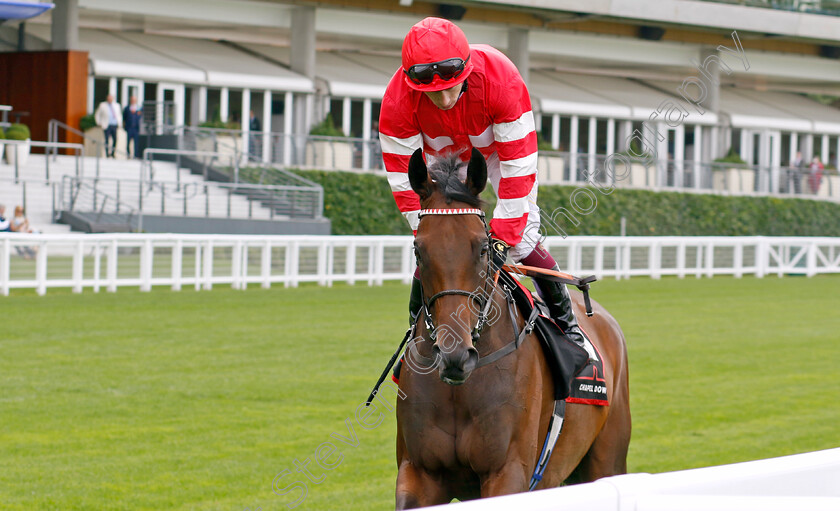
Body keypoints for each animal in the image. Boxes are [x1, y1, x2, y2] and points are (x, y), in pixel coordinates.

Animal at [394, 148, 632, 508]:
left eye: (482, 247)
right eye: (418, 250)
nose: (454, 355)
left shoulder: (508, 472)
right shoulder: (419, 472)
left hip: (607, 459)